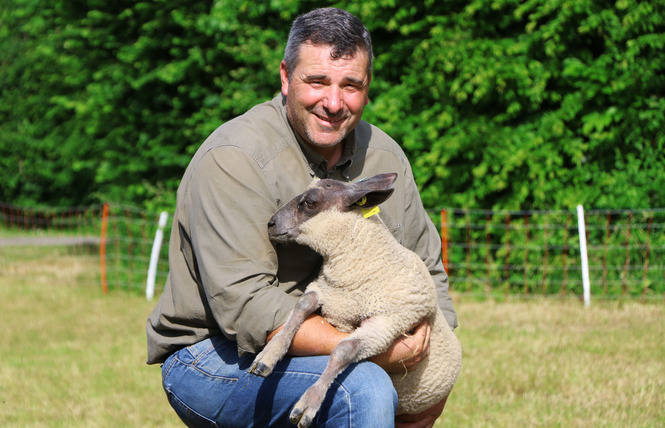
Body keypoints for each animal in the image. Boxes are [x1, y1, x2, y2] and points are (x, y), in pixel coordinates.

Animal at [249, 172, 462, 426]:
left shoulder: (388, 323)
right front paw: (269, 355)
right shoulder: (326, 293)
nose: (270, 224)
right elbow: (301, 305)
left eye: (310, 203)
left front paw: (309, 403)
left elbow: (344, 350)